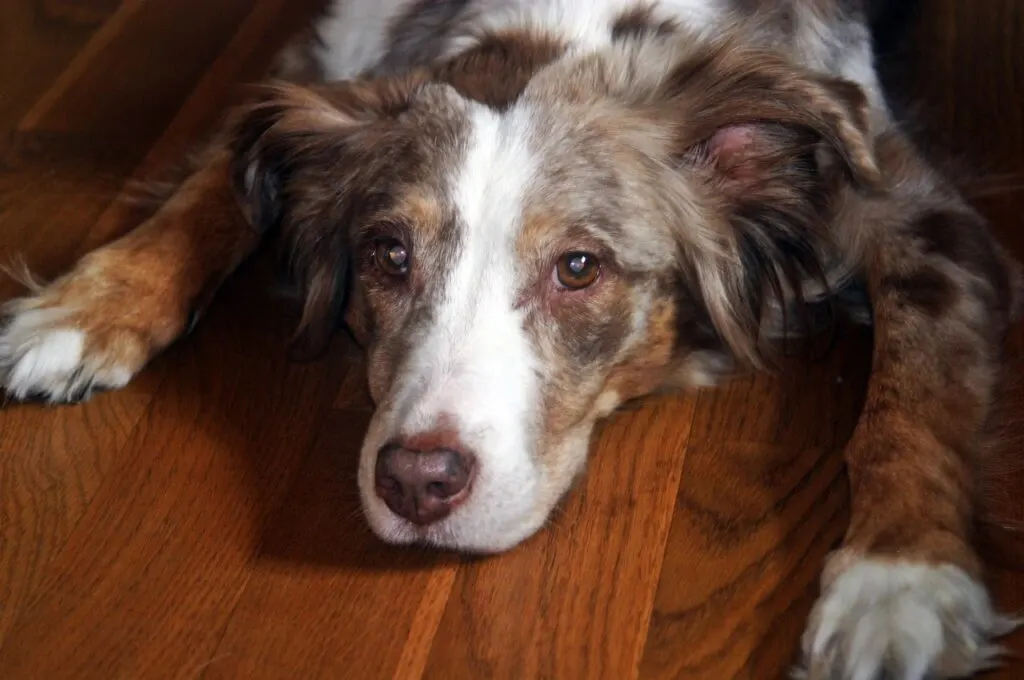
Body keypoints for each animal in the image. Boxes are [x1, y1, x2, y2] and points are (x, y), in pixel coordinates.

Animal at [2, 0, 1024, 675]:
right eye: (386, 253)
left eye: (578, 267)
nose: (417, 483)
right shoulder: (328, 58)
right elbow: (220, 173)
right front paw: (86, 308)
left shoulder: (915, 207)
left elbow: (912, 391)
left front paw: (898, 583)